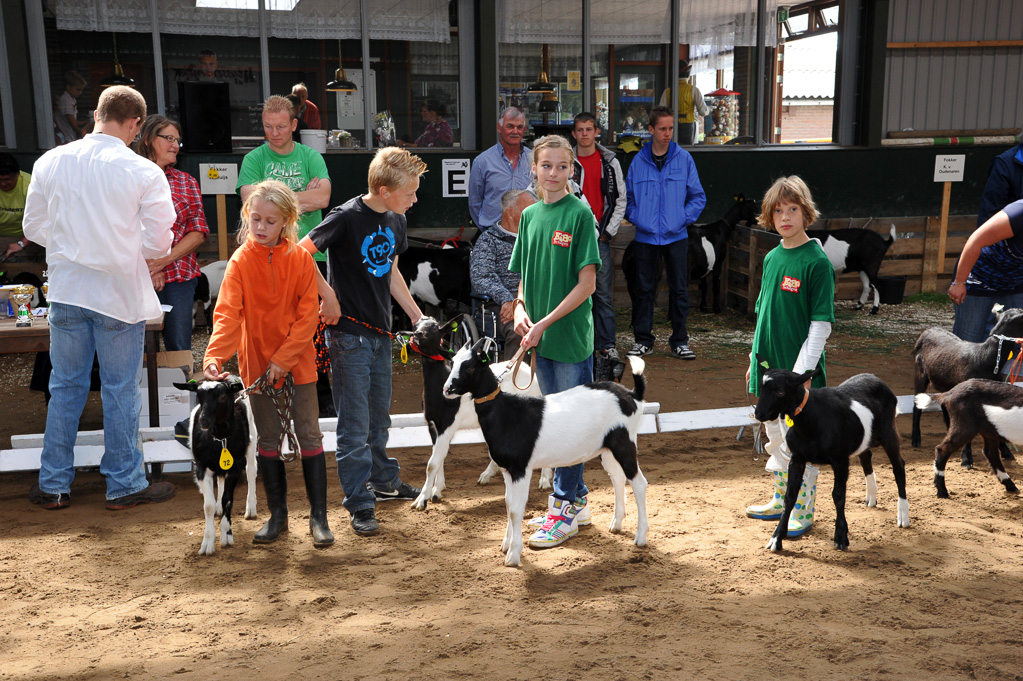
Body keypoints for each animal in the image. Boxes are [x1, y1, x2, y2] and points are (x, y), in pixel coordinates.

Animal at [173, 376, 257, 556]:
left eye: (223, 397)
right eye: (199, 396)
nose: (204, 420)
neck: (220, 439)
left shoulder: (235, 468)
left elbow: (228, 499)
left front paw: (226, 534)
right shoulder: (201, 468)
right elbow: (208, 505)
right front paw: (207, 543)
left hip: (252, 441)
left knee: (251, 471)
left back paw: (251, 508)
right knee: (220, 480)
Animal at [407, 314, 552, 507]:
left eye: (436, 327)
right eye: (416, 324)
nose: (416, 335)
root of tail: (528, 370)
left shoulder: (447, 425)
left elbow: (432, 463)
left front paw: (422, 499)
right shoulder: (433, 425)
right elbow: (439, 458)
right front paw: (437, 490)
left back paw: (544, 480)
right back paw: (487, 475)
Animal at [439, 341, 646, 564]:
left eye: (469, 366)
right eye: (453, 362)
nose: (447, 389)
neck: (506, 412)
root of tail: (632, 395)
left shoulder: (520, 468)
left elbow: (516, 510)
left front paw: (513, 555)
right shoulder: (507, 470)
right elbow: (508, 505)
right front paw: (506, 545)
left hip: (625, 443)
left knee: (639, 483)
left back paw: (641, 537)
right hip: (607, 449)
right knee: (618, 478)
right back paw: (616, 524)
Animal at [752, 364, 912, 548]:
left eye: (780, 391)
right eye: (762, 388)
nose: (759, 414)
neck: (811, 418)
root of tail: (876, 378)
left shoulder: (840, 460)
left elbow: (838, 496)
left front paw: (841, 537)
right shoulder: (797, 458)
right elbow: (790, 495)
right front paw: (776, 537)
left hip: (889, 432)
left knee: (898, 466)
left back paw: (903, 516)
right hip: (864, 437)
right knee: (866, 458)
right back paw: (872, 496)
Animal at [912, 306, 1023, 466]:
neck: (985, 358)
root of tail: (929, 330)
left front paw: (1006, 452)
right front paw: (966, 459)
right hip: (920, 373)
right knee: (917, 406)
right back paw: (916, 439)